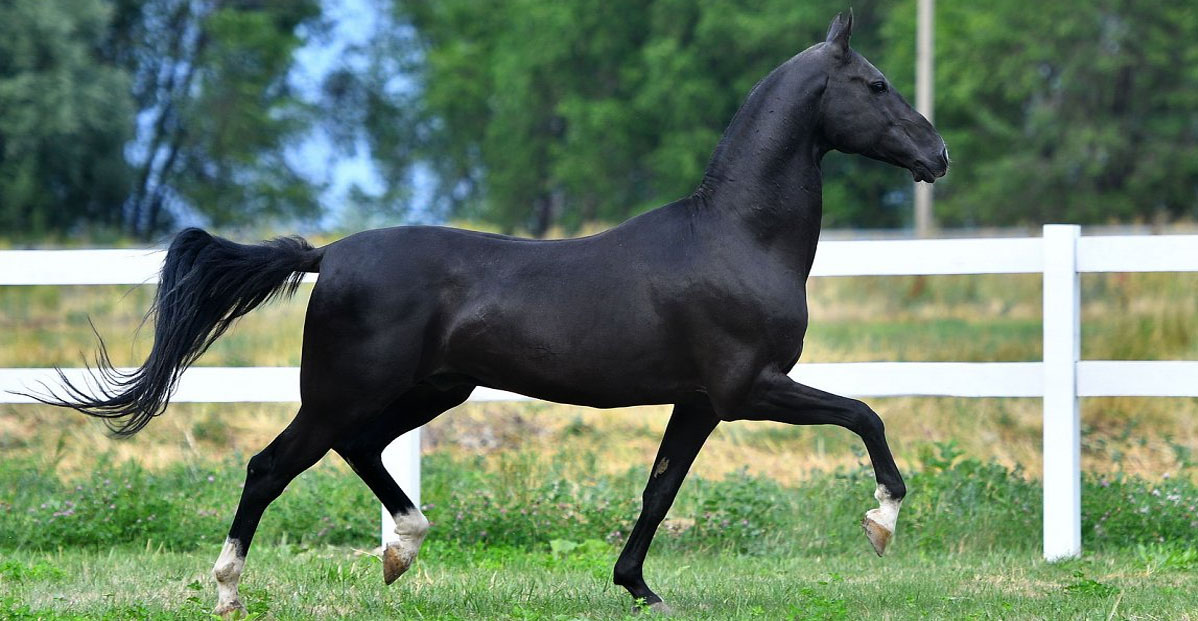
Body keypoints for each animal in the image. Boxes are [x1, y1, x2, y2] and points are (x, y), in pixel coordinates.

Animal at [44, 13, 944, 618]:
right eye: (875, 86)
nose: (937, 156)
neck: (737, 237)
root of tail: (329, 254)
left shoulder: (697, 401)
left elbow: (659, 490)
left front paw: (639, 587)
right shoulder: (750, 387)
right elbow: (865, 415)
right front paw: (881, 523)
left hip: (437, 387)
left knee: (358, 448)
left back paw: (402, 550)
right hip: (344, 389)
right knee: (272, 464)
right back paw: (231, 589)